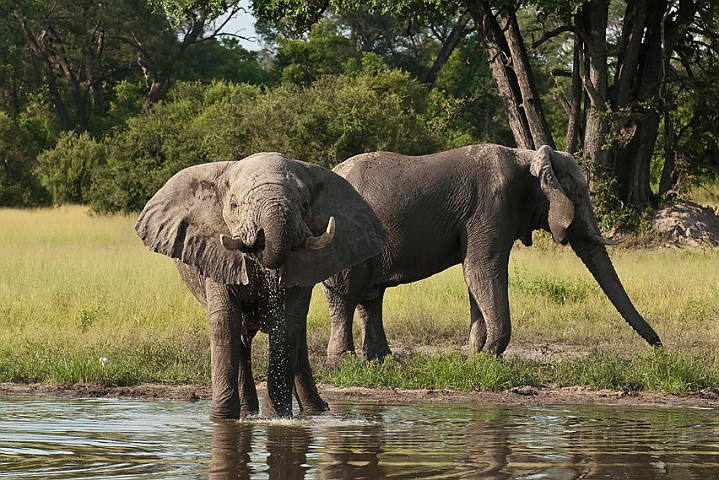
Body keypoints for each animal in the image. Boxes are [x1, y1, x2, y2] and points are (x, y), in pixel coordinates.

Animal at [132, 152, 386, 418]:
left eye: (305, 205)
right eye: (234, 205)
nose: (261, 240)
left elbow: (286, 324)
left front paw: (277, 419)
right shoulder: (216, 257)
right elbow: (225, 322)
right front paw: (222, 420)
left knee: (297, 336)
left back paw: (315, 412)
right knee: (242, 338)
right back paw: (248, 414)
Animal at [326, 144, 664, 362]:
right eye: (579, 194)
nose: (659, 347)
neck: (529, 157)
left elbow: (476, 277)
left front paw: (477, 356)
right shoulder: (491, 205)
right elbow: (482, 269)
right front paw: (489, 355)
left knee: (370, 297)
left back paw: (382, 362)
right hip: (342, 236)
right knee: (347, 295)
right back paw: (344, 361)